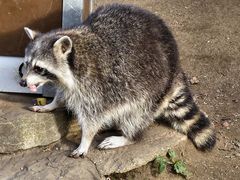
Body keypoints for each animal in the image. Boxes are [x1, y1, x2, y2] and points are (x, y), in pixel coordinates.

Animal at [19, 3, 217, 157]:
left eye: (39, 68)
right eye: (26, 63)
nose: (22, 82)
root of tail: (176, 69)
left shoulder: (96, 85)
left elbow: (93, 117)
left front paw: (85, 140)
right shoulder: (72, 84)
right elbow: (64, 93)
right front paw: (52, 103)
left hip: (154, 88)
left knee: (136, 114)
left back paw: (128, 136)